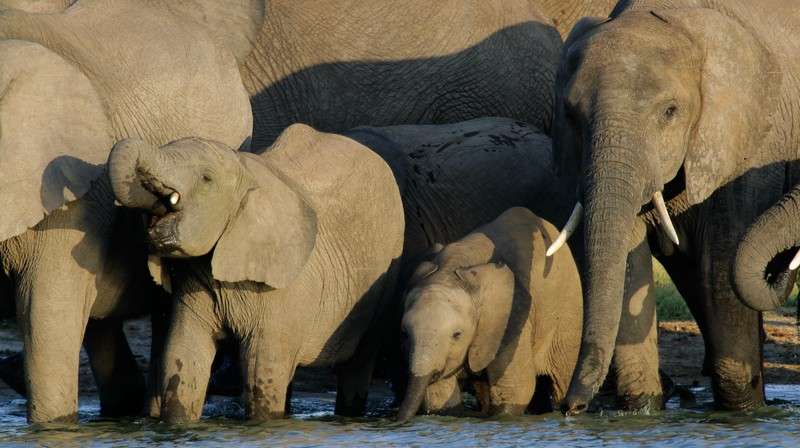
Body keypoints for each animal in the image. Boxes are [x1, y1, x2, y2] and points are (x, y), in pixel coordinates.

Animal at [106, 124, 405, 423]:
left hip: (388, 269)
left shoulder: (283, 287)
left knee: (359, 361)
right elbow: (183, 357)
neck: (245, 173)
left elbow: (262, 371)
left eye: (206, 179)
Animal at [396, 207, 582, 421]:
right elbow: (439, 398)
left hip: (569, 312)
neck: (453, 269)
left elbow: (516, 390)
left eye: (457, 335)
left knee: (561, 378)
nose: (396, 420)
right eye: (404, 334)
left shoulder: (512, 319)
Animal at [548, 0, 800, 414]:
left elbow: (722, 260)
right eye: (570, 115)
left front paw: (743, 411)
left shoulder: (746, 139)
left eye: (670, 112)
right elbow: (629, 256)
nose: (571, 407)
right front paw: (641, 410)